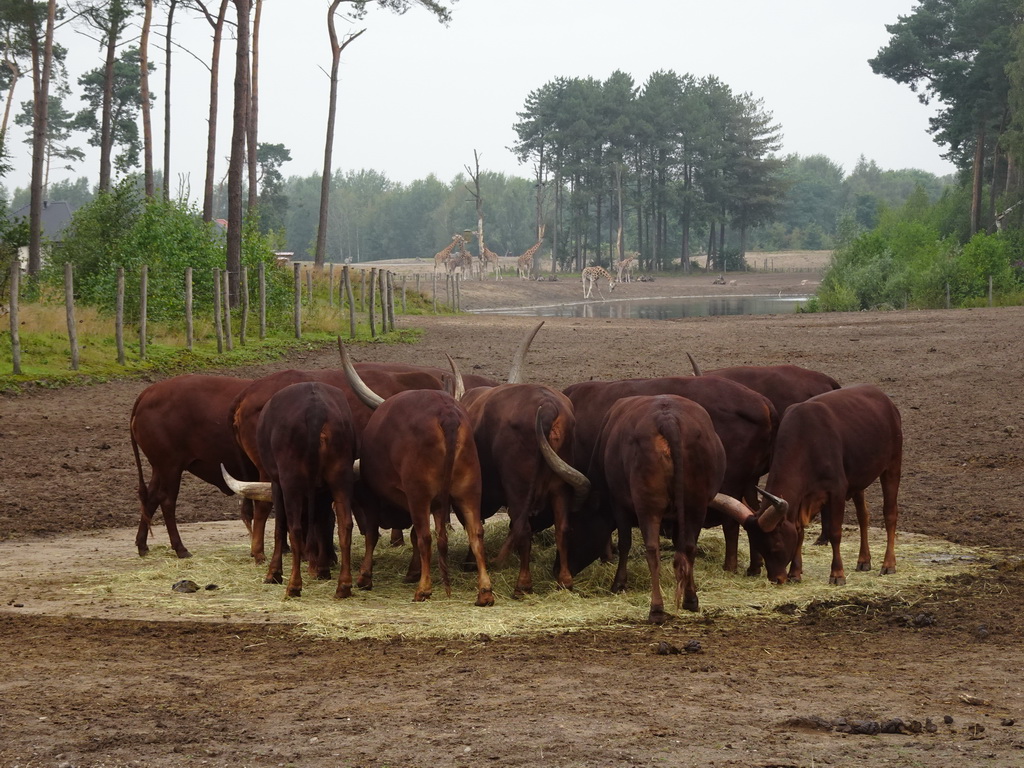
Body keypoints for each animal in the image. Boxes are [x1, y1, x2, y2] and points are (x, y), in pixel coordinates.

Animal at [130, 374, 256, 561]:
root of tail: (149, 392)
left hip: (160, 468)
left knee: (151, 499)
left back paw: (143, 545)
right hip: (170, 467)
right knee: (166, 501)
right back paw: (180, 548)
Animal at [460, 385, 589, 593]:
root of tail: (548, 407)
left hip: (519, 488)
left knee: (524, 530)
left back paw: (523, 584)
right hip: (560, 486)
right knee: (561, 528)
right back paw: (565, 580)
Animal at [565, 378, 770, 577]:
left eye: (572, 529)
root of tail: (761, 402)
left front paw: (608, 558)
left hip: (730, 485)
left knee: (731, 523)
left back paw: (730, 566)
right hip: (744, 486)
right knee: (753, 513)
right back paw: (754, 566)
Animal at [585, 397, 729, 626]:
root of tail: (667, 419)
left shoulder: (619, 505)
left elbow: (625, 543)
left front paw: (619, 583)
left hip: (648, 506)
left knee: (652, 550)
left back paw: (656, 608)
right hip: (696, 505)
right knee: (689, 547)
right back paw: (690, 599)